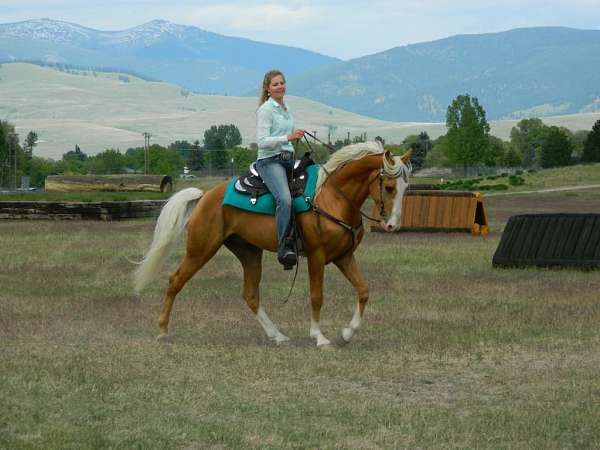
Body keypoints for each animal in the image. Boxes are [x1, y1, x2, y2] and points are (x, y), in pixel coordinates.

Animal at [134, 142, 410, 350]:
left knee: (250, 295)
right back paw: (162, 330)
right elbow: (317, 296)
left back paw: (277, 335)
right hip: (200, 249)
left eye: (406, 187)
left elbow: (363, 290)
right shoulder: (317, 256)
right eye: (388, 187)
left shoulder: (344, 257)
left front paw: (346, 334)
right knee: (175, 280)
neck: (331, 197)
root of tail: (205, 196)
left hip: (249, 252)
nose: (392, 225)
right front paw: (320, 337)